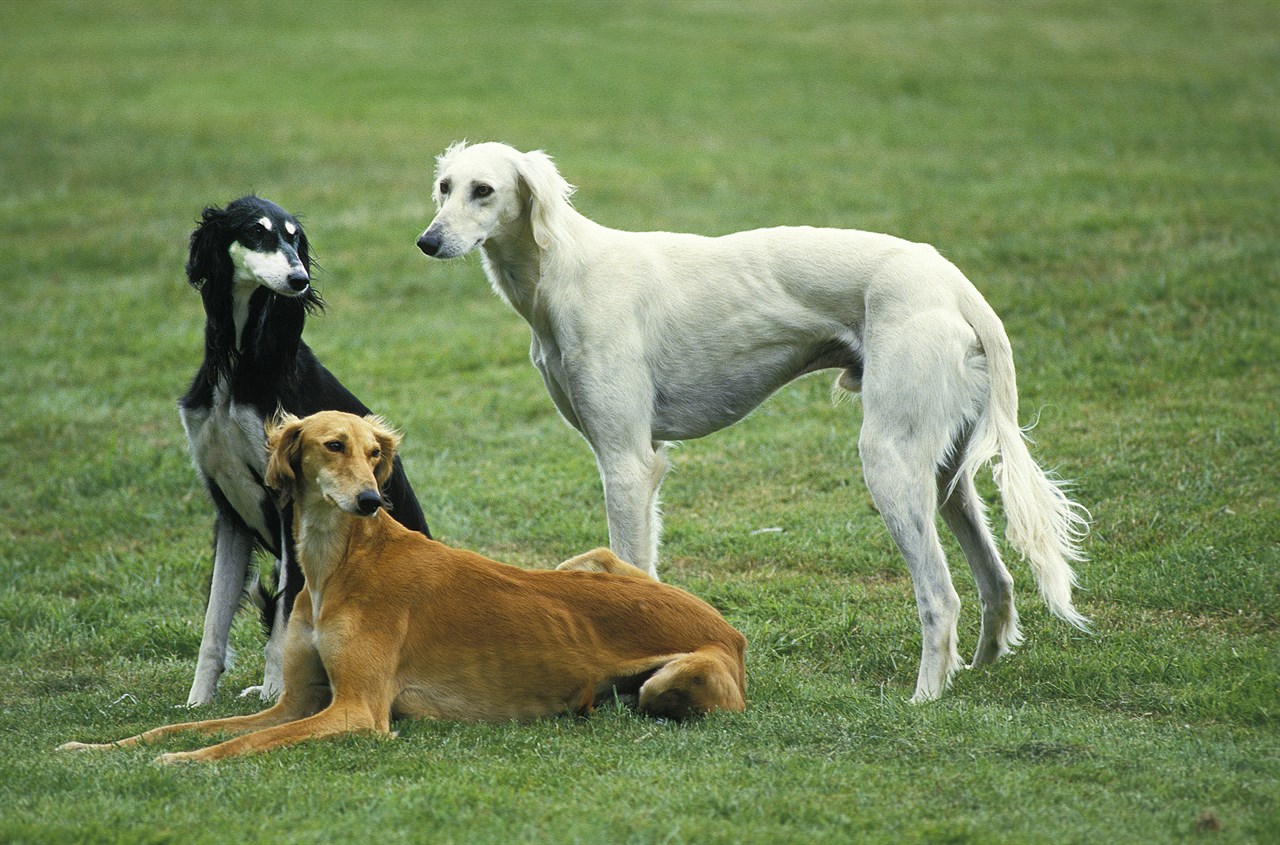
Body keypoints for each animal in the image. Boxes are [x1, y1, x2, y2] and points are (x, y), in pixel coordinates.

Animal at [60, 412, 747, 763]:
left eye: (373, 452)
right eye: (332, 445)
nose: (370, 499)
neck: (339, 564)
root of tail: (729, 630)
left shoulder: (358, 711)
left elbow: (247, 740)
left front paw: (181, 764)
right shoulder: (296, 701)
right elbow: (186, 727)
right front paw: (95, 746)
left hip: (665, 677)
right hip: (588, 561)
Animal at [177, 194, 432, 701]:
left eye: (296, 239)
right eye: (256, 233)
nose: (300, 279)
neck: (240, 367)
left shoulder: (287, 505)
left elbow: (282, 622)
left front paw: (278, 694)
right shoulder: (228, 510)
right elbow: (214, 622)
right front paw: (197, 702)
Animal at [414, 143, 1085, 701]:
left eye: (484, 190)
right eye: (444, 186)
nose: (427, 242)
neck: (566, 270)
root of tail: (952, 280)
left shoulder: (628, 462)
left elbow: (632, 564)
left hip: (889, 459)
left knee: (940, 598)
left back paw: (924, 699)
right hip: (943, 472)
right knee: (996, 580)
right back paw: (976, 669)